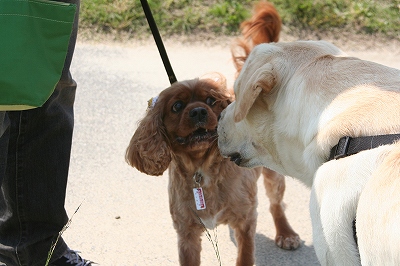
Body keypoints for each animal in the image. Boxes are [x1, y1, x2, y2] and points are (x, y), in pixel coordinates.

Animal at [126, 1, 298, 264]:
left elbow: (245, 255)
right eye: (177, 106)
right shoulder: (186, 234)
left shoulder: (246, 221)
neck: (202, 170)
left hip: (273, 175)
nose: (198, 111)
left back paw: (286, 233)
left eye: (211, 100)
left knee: (276, 204)